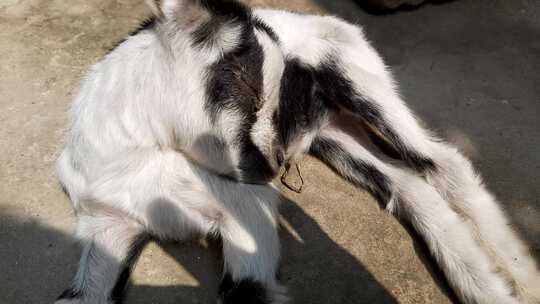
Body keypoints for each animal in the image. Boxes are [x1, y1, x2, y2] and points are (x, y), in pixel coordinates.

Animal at [56, 1, 540, 302]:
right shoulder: (108, 225)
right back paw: (483, 284)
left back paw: (521, 280)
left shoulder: (246, 212)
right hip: (333, 135)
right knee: (409, 185)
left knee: (443, 163)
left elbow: (249, 293)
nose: (274, 166)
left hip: (361, 84)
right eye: (249, 85)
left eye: (281, 86)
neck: (139, 155)